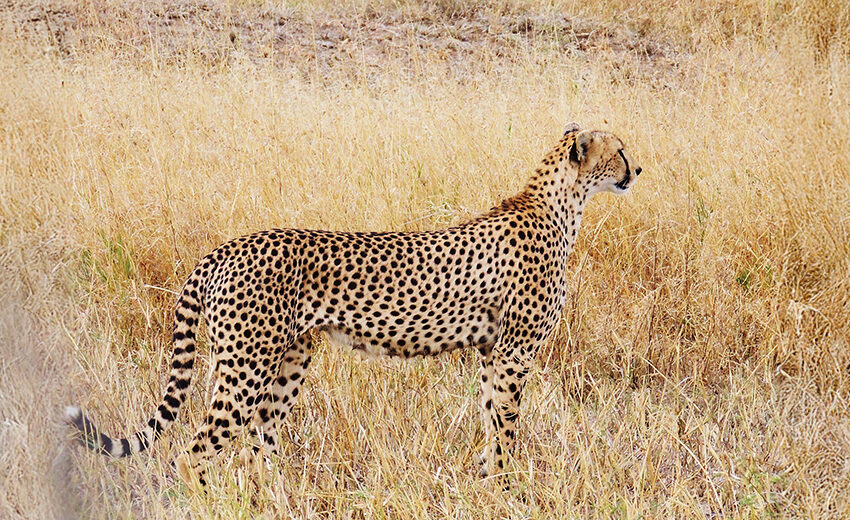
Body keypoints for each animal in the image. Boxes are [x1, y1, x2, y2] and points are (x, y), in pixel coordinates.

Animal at [66, 122, 642, 488]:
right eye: (619, 149)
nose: (637, 169)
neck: (560, 205)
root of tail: (225, 248)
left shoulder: (491, 352)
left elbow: (489, 421)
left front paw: (486, 483)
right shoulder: (513, 352)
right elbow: (505, 428)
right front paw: (505, 488)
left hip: (290, 360)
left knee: (257, 449)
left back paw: (271, 500)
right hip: (245, 365)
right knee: (198, 451)